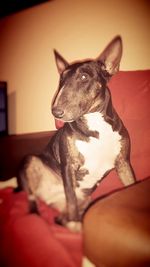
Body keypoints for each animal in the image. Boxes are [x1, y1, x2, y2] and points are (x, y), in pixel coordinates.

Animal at [18, 35, 135, 232]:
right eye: (61, 80)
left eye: (83, 76)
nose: (56, 112)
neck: (95, 123)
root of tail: (49, 199)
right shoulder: (68, 166)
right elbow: (71, 198)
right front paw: (75, 221)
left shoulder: (123, 163)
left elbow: (131, 184)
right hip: (31, 161)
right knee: (32, 196)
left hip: (87, 199)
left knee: (62, 217)